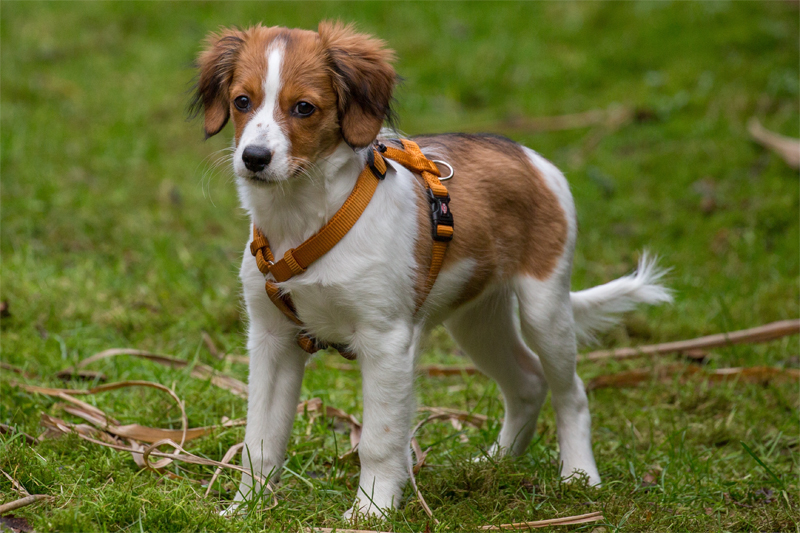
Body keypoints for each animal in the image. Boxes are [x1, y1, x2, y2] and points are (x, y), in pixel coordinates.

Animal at [191, 22, 672, 516]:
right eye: (241, 101)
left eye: (304, 108)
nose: (254, 158)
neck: (306, 219)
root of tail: (526, 155)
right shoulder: (272, 338)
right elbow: (259, 440)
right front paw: (245, 508)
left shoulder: (384, 340)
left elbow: (379, 440)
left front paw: (372, 510)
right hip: (476, 322)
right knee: (527, 382)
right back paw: (495, 462)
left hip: (545, 308)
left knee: (570, 391)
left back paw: (579, 477)